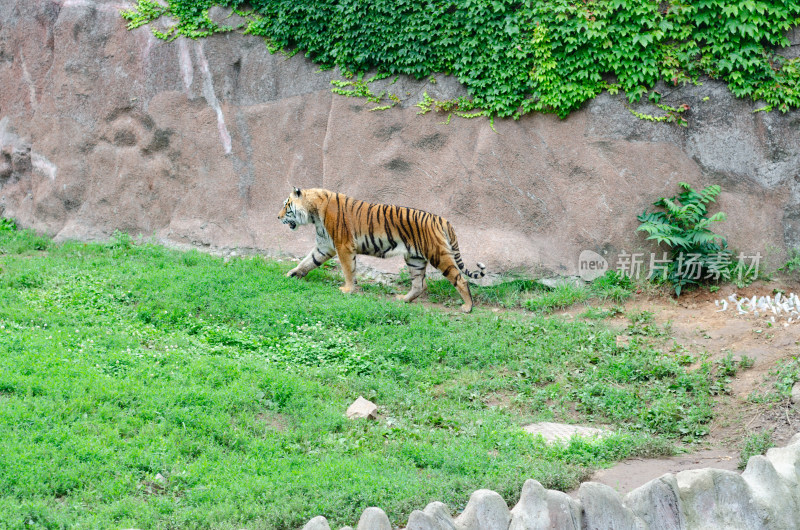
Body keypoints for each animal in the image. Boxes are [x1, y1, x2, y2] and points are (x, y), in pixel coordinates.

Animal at [278, 188, 484, 312]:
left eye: (286, 206)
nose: (277, 217)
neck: (313, 213)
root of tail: (443, 220)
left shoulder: (343, 246)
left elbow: (348, 270)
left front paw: (347, 289)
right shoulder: (324, 246)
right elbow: (308, 262)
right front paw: (291, 274)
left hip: (437, 255)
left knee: (460, 279)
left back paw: (467, 307)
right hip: (414, 258)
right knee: (420, 284)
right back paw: (403, 299)